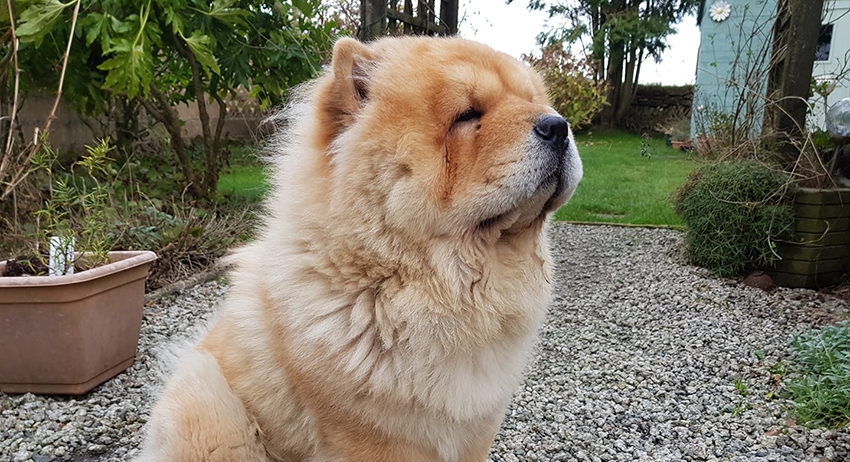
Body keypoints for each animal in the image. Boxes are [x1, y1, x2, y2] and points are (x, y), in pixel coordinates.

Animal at [135, 36, 582, 462]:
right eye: (467, 115)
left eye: (536, 102)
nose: (558, 125)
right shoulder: (371, 438)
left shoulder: (477, 427)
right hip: (212, 408)